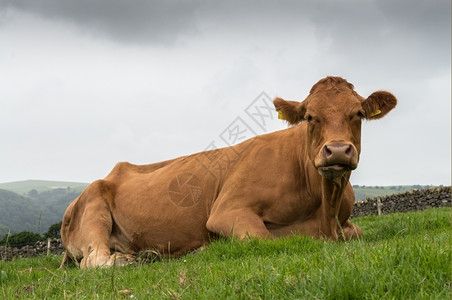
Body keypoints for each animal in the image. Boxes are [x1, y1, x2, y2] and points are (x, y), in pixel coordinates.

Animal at [59, 76, 396, 268]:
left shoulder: (345, 225)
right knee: (95, 260)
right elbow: (265, 239)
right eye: (310, 117)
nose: (337, 150)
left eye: (358, 113)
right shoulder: (228, 210)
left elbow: (357, 233)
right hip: (94, 211)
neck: (324, 210)